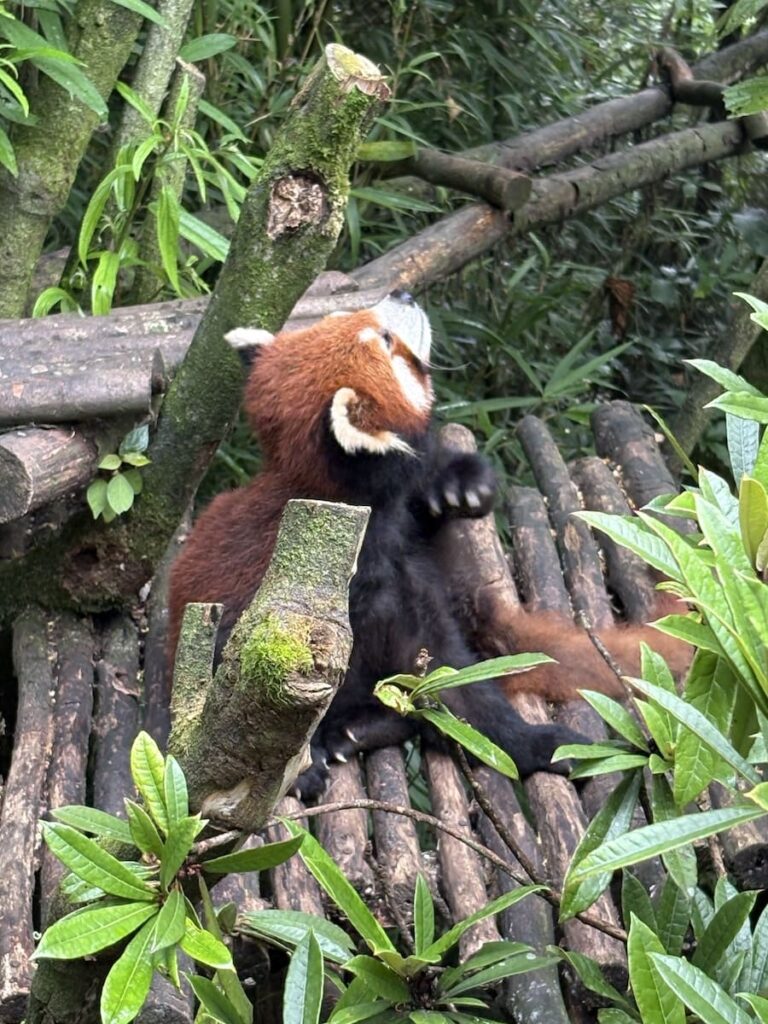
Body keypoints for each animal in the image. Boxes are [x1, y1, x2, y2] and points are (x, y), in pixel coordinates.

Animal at [168, 291, 688, 798]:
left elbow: (454, 679)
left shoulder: (406, 573)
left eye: (349, 316)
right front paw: (296, 768)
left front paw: (529, 744)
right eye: (386, 340)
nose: (404, 293)